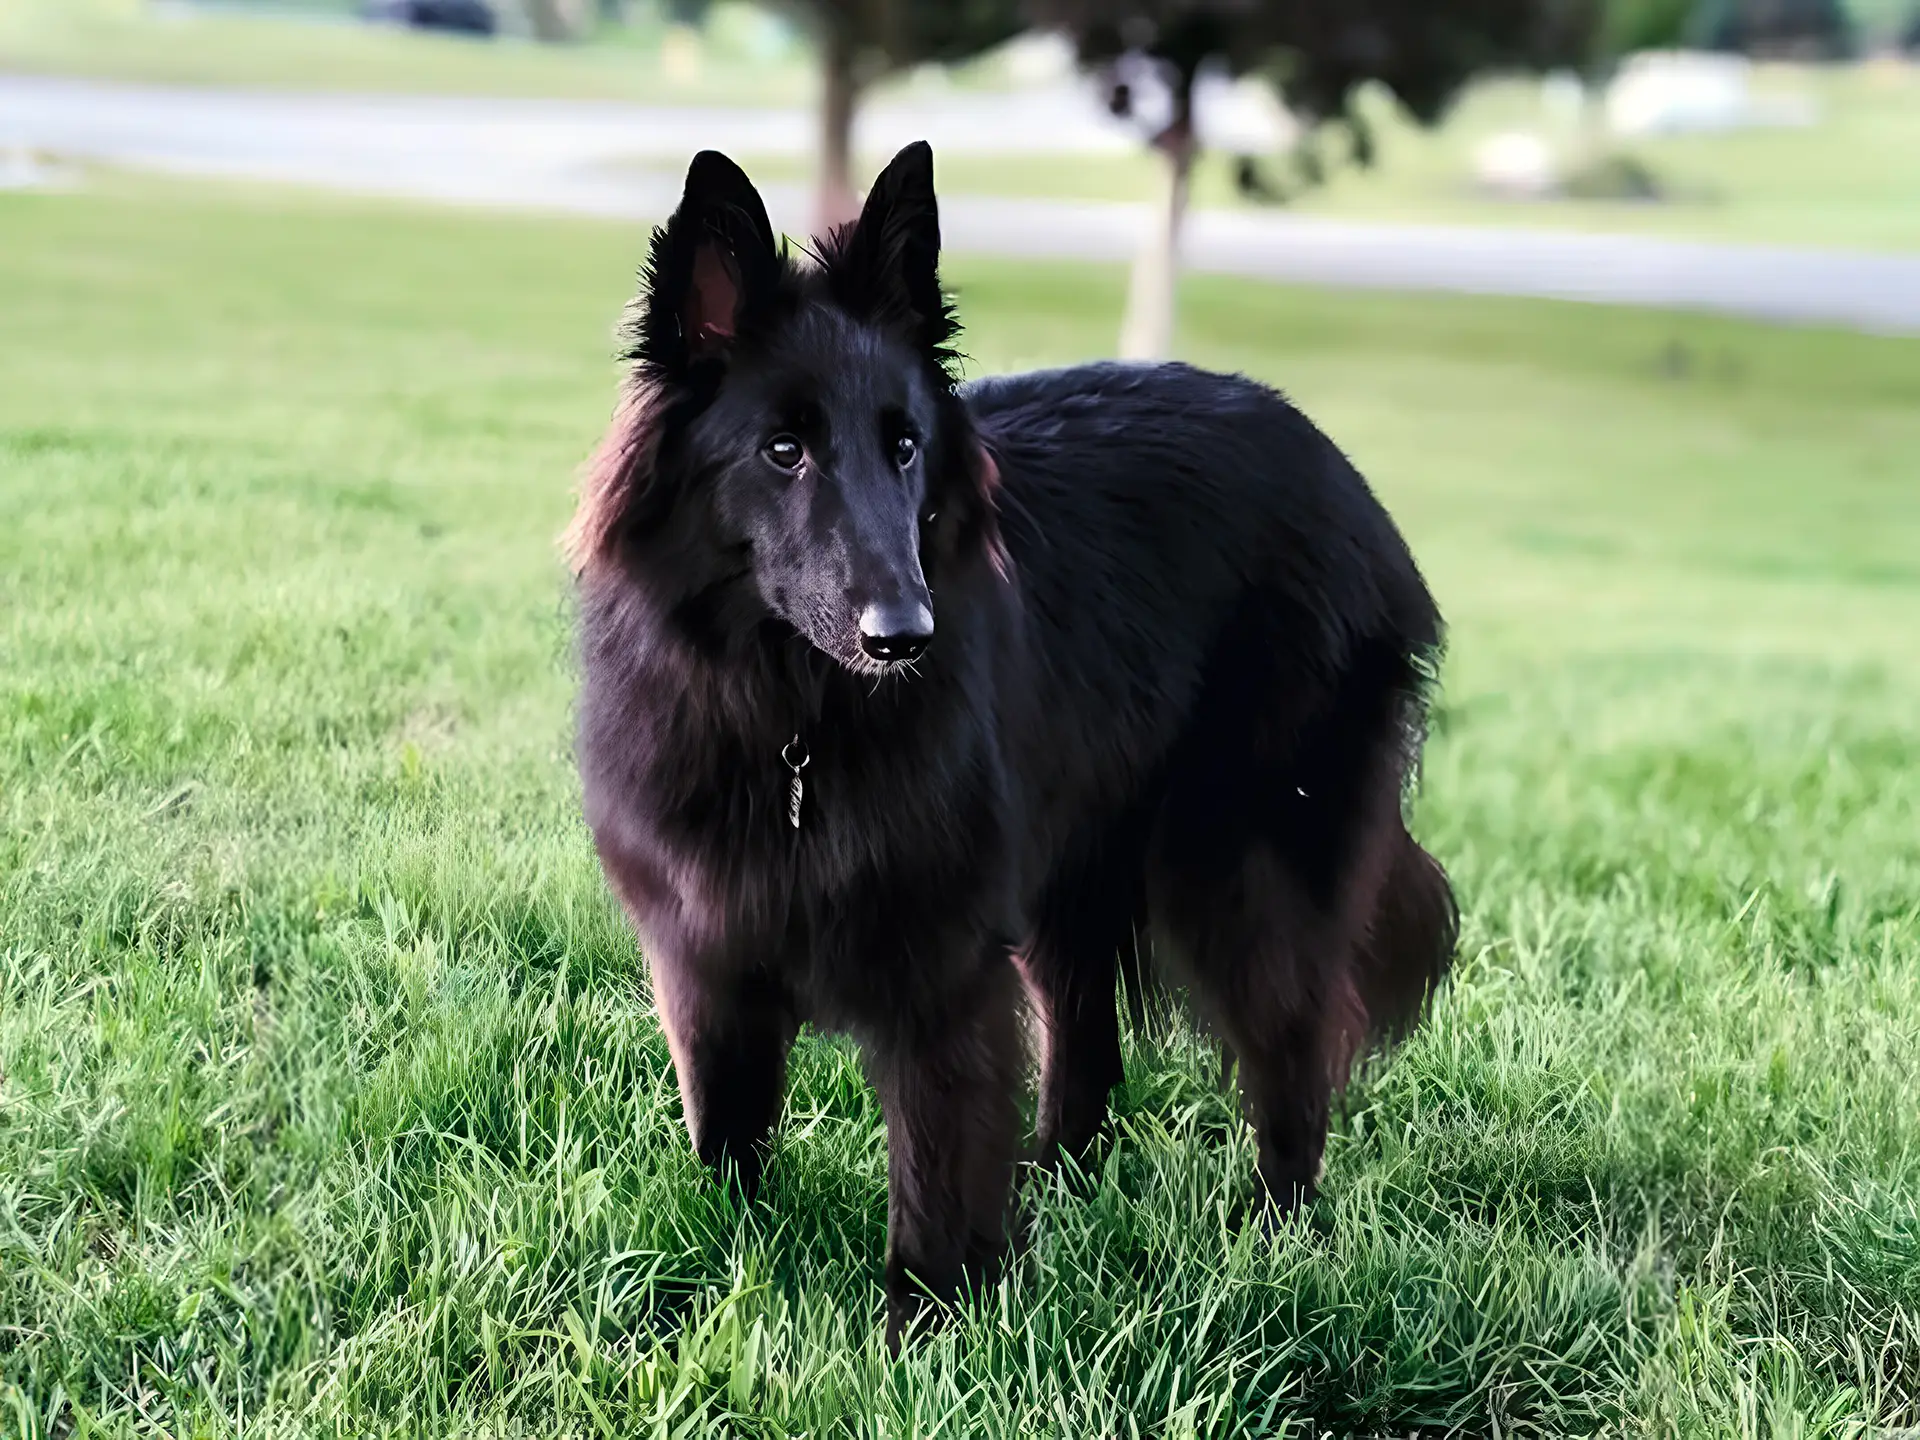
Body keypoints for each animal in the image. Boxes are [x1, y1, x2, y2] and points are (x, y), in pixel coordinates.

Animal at [572, 144, 1451, 1351]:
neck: (793, 722)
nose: (905, 636)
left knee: (1293, 1053)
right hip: (1071, 888)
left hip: (1243, 874)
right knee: (1089, 1052)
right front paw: (730, 1268)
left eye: (904, 447)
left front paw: (922, 1333)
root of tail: (1345, 478)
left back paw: (1275, 1237)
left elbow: (937, 1169)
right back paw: (1060, 1186)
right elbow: (729, 1144)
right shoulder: (708, 961)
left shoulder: (942, 971)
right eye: (783, 451)